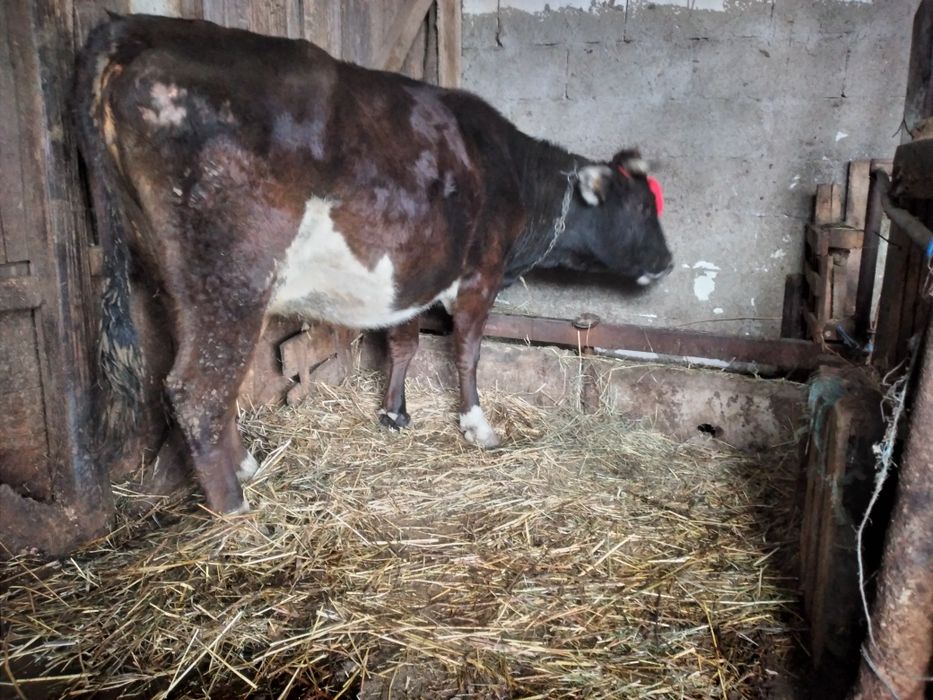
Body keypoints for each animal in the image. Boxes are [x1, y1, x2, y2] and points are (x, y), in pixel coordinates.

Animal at [75, 13, 673, 515]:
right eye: (643, 206)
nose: (668, 260)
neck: (514, 175)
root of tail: (142, 28)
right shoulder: (480, 273)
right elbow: (467, 352)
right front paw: (477, 427)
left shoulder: (412, 275)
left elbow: (403, 344)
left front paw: (393, 413)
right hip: (233, 276)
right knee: (196, 390)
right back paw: (236, 510)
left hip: (178, 280)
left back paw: (246, 466)